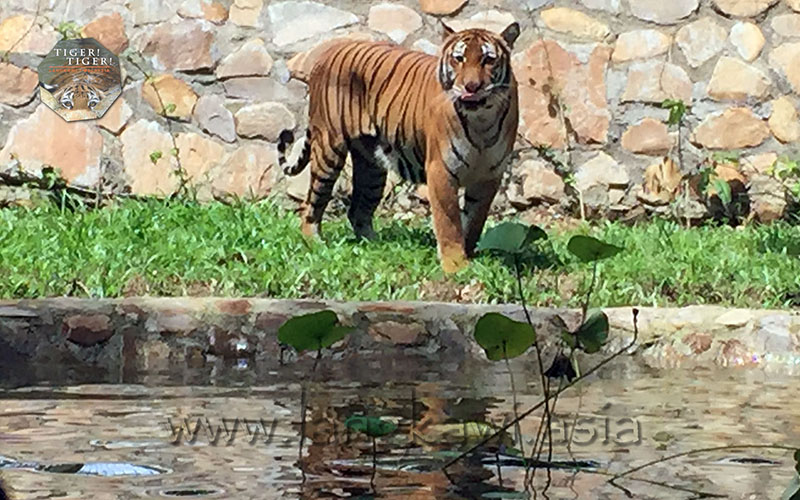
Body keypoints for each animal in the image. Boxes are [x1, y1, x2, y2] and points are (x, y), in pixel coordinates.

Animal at [278, 21, 520, 274]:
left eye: (488, 59)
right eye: (459, 59)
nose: (471, 87)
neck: (481, 120)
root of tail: (328, 52)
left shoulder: (489, 176)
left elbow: (475, 219)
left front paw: (469, 255)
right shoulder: (441, 171)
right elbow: (449, 221)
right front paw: (455, 265)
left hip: (372, 168)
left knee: (358, 211)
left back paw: (376, 246)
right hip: (328, 150)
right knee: (310, 205)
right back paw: (315, 243)